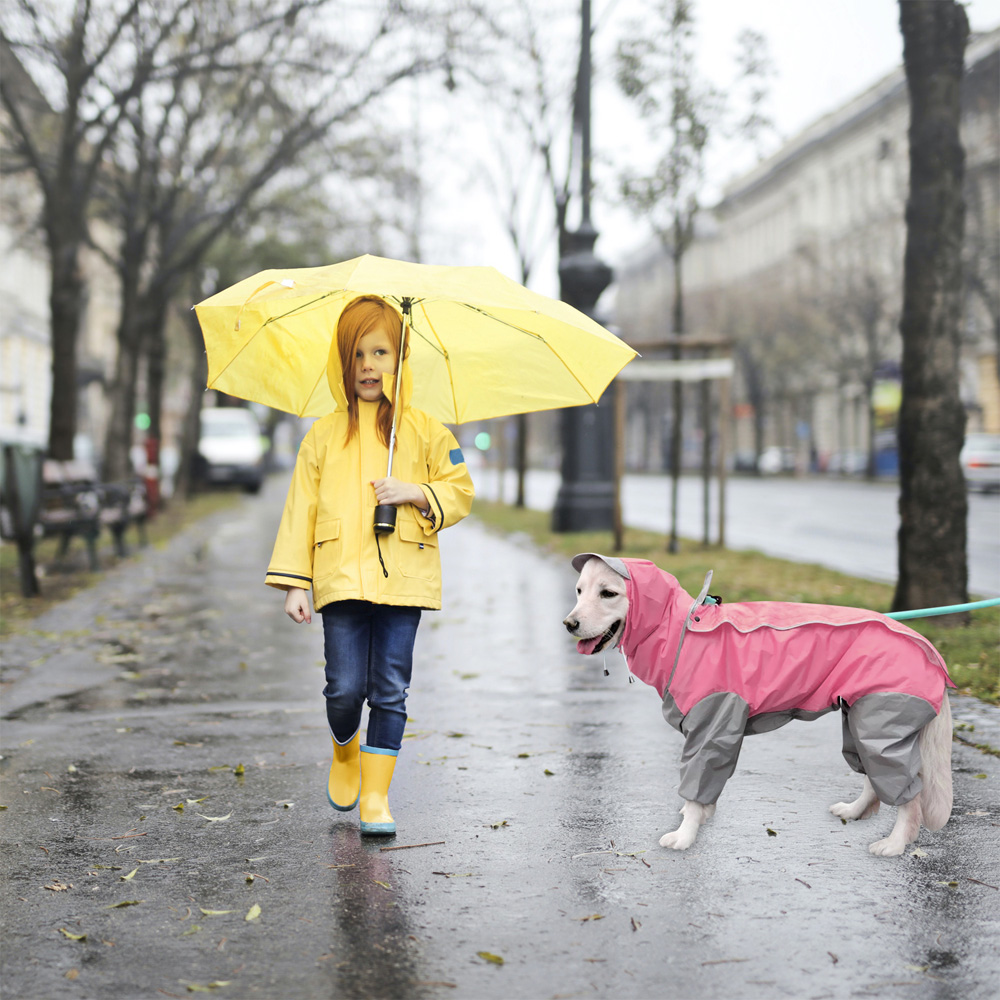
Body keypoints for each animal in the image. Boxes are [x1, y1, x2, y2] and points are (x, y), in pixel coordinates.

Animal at [568, 552, 956, 856]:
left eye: (608, 593)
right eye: (579, 590)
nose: (569, 623)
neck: (681, 631)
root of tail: (927, 646)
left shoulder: (711, 724)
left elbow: (695, 786)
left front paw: (685, 835)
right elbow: (703, 793)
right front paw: (702, 816)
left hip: (880, 723)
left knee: (909, 795)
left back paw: (895, 843)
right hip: (860, 720)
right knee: (874, 778)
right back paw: (855, 810)